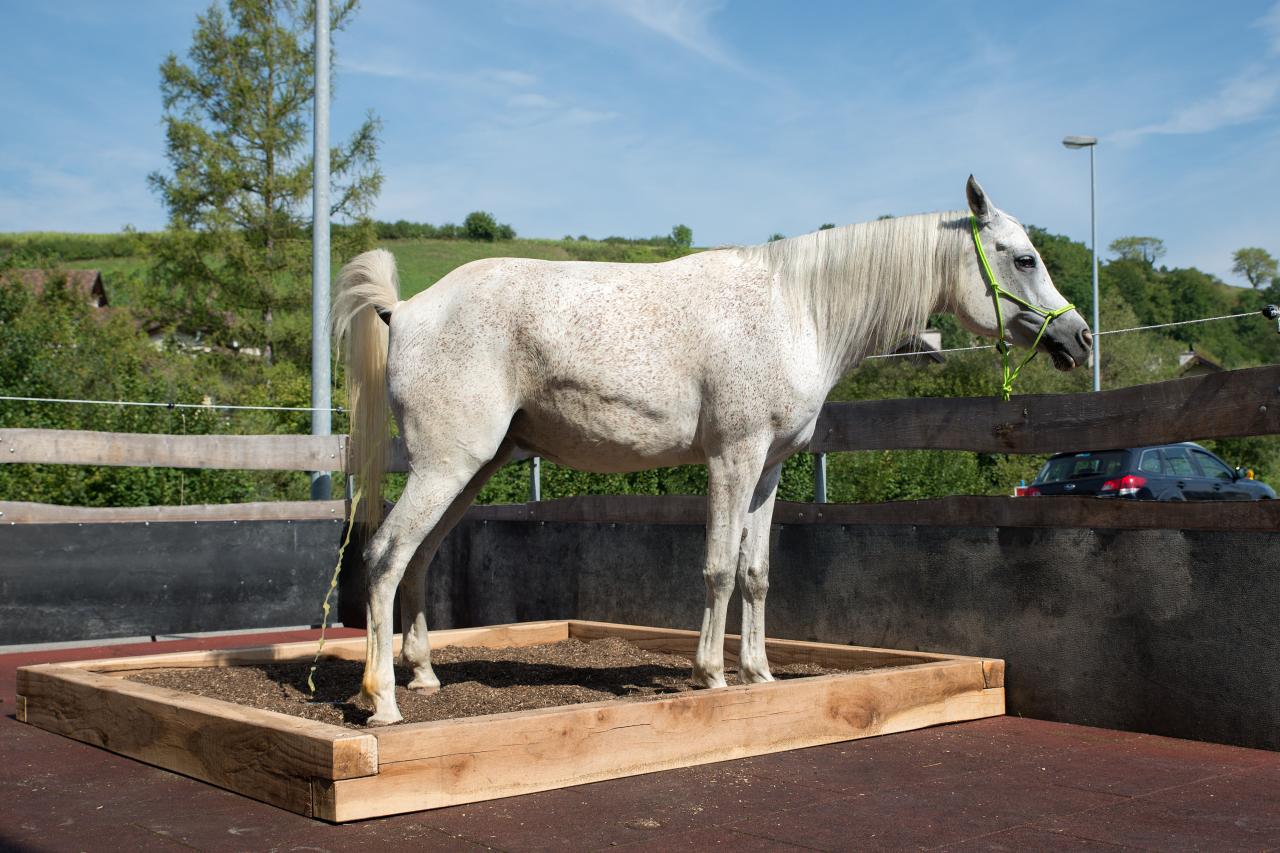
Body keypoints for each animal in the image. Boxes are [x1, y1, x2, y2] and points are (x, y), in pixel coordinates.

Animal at [333, 175, 1092, 725]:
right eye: (1024, 257)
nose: (1079, 338)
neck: (797, 309)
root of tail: (405, 309)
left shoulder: (771, 469)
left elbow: (756, 572)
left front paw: (760, 672)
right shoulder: (733, 458)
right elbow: (719, 568)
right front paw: (713, 675)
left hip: (471, 470)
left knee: (419, 557)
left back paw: (424, 676)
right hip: (446, 466)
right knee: (385, 556)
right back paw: (382, 703)